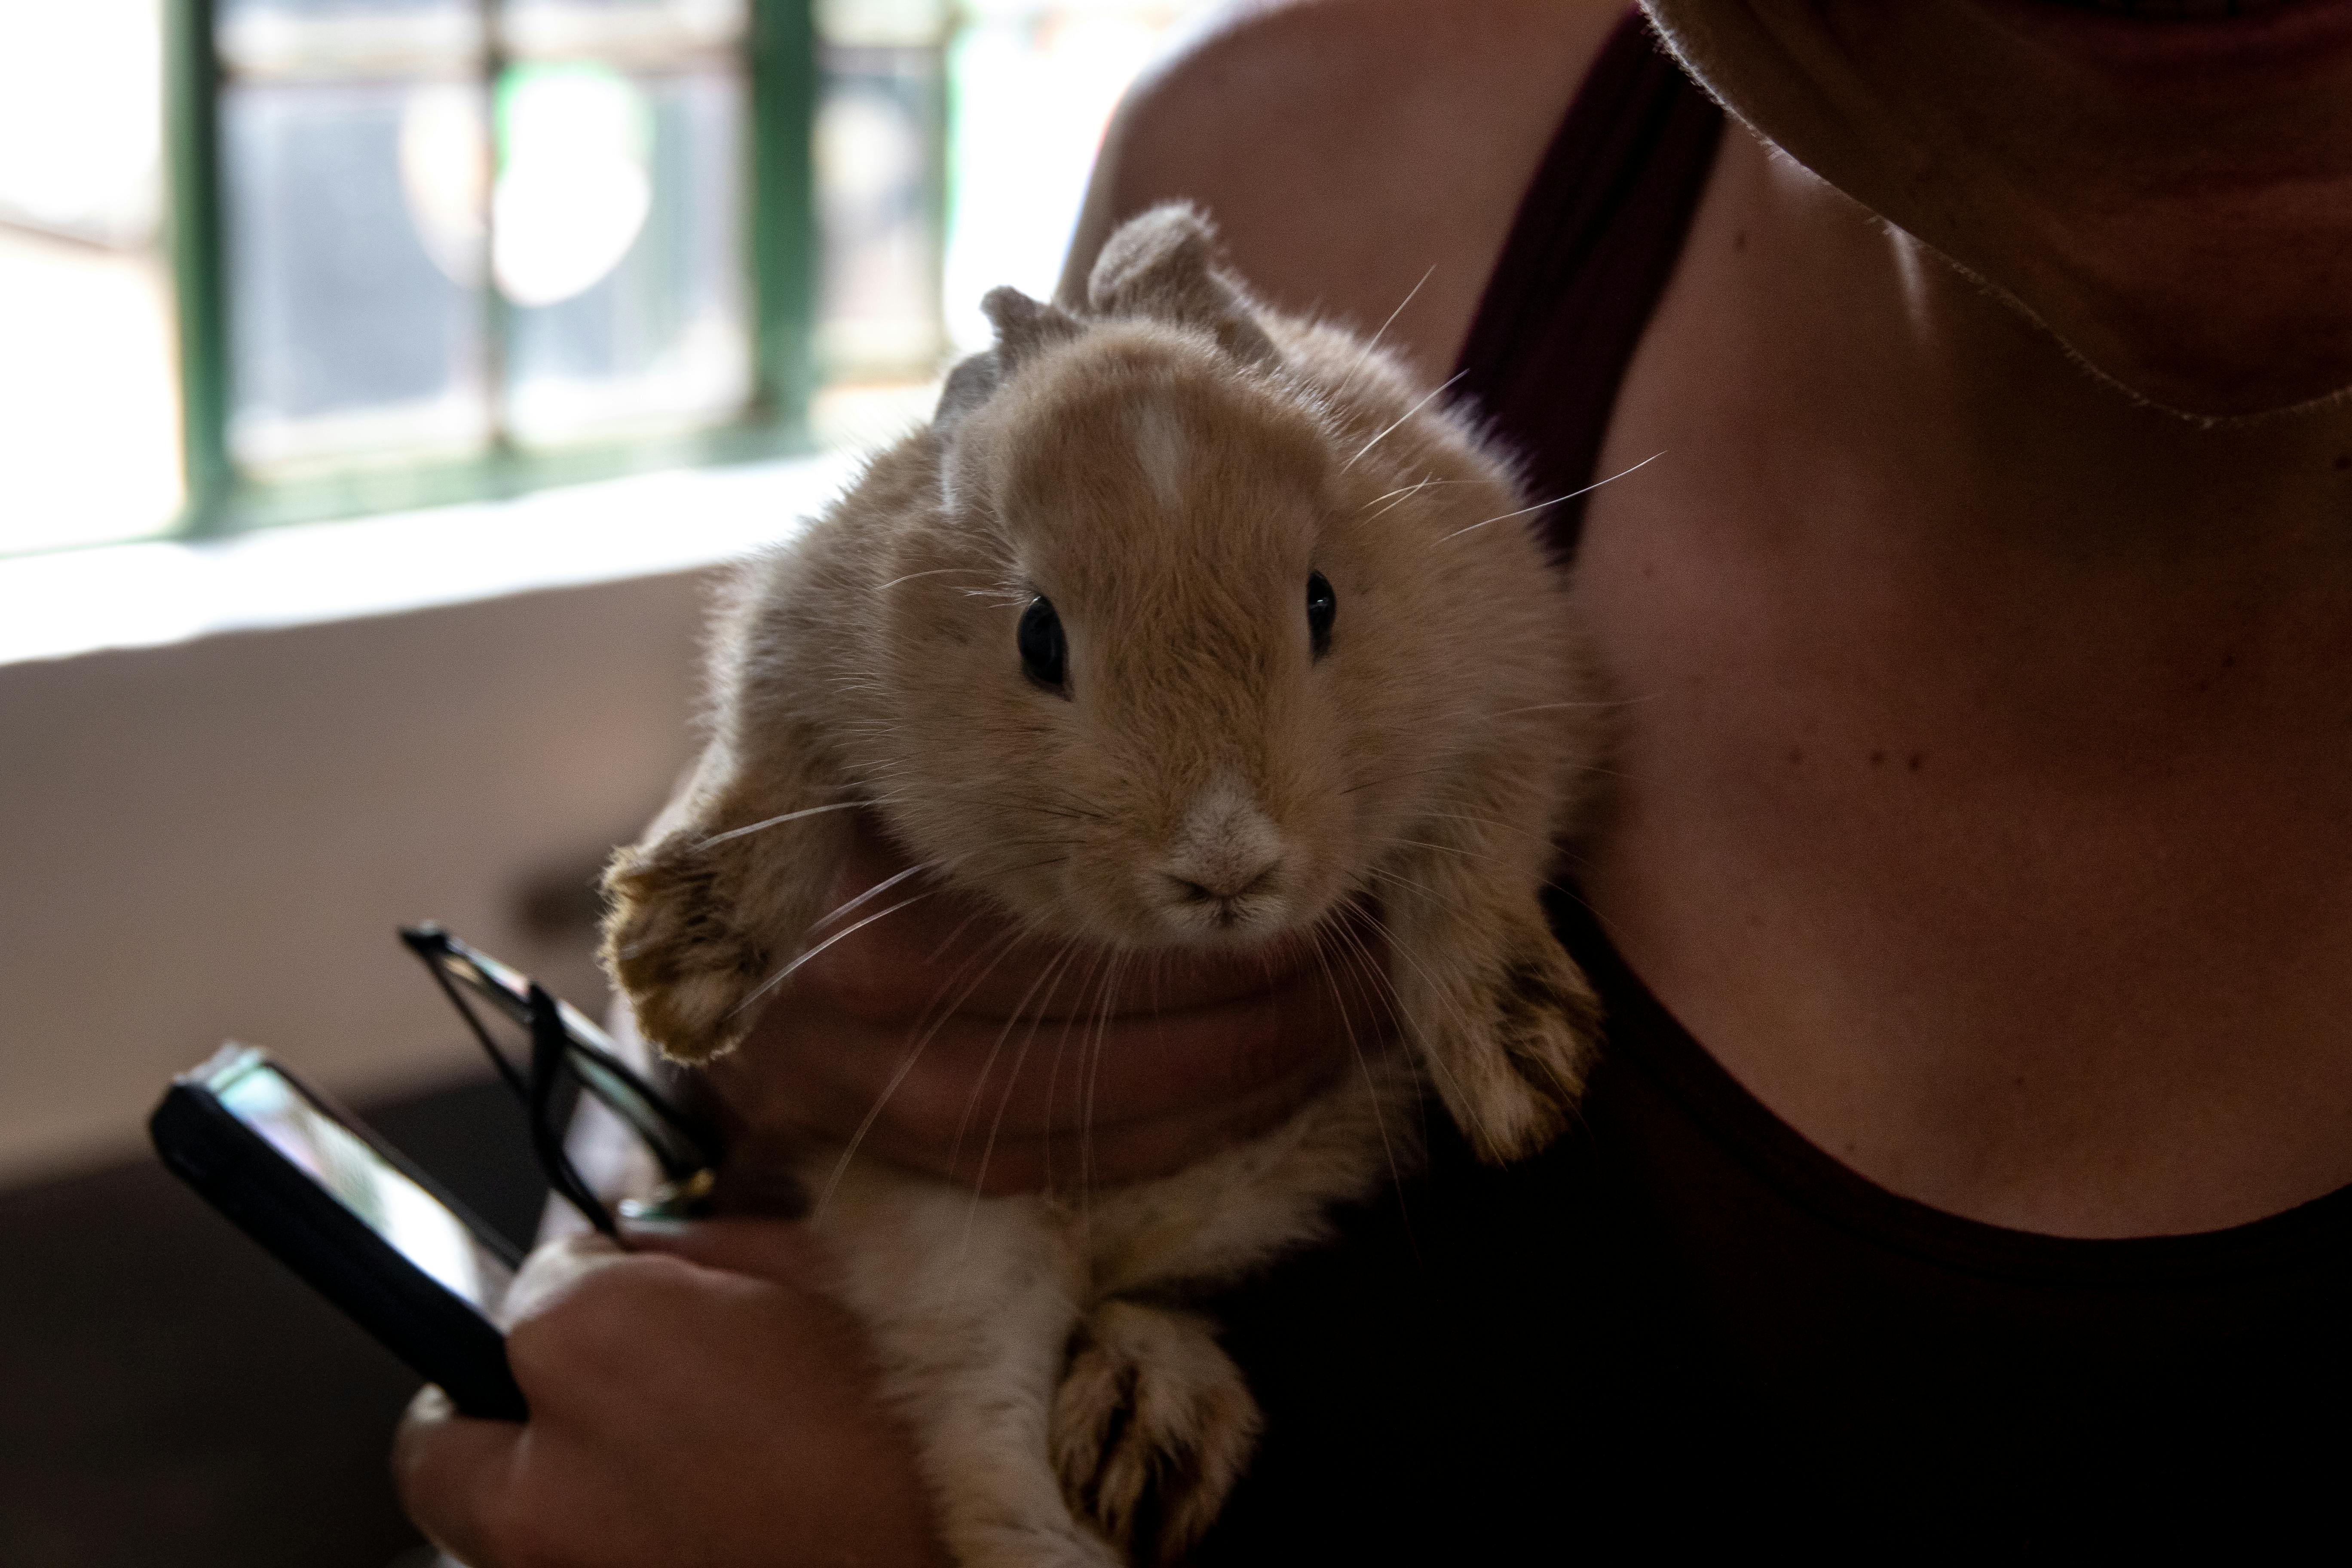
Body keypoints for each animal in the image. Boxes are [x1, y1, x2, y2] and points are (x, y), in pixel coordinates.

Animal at [601, 202, 1607, 1567]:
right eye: (1039, 638)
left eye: (1322, 602)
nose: (1227, 861)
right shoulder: (797, 652)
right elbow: (766, 781)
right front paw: (677, 970)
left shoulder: (1515, 686)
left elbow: (1476, 866)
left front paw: (1520, 1079)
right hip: (958, 1246)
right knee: (995, 1447)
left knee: (1142, 1297)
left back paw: (1147, 1430)